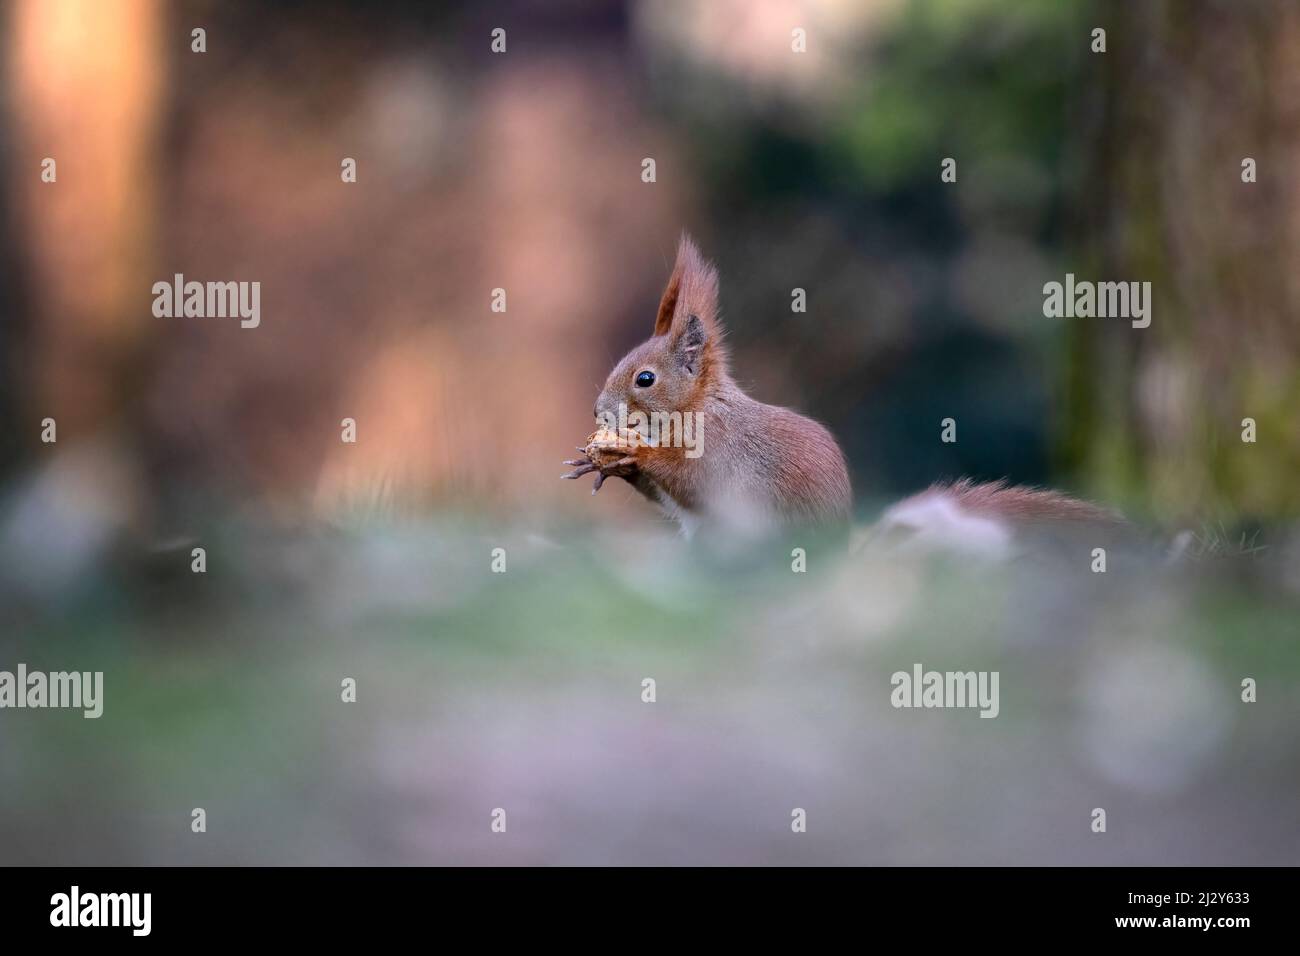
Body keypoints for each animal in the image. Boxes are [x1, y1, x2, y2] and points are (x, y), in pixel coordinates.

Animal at [564, 232, 1123, 554]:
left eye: (645, 379)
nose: (596, 410)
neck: (696, 409)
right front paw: (606, 464)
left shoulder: (721, 453)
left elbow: (690, 480)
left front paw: (632, 455)